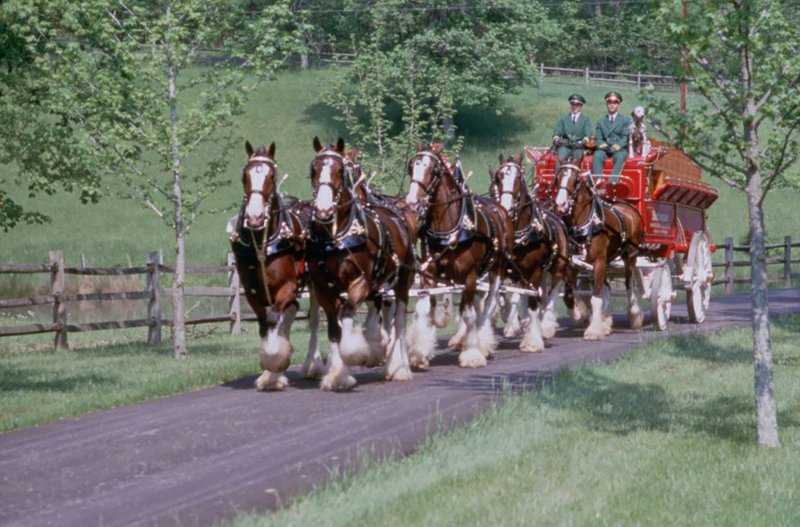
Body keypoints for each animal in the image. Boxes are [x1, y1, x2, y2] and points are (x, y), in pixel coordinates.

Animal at [227, 142, 324, 390]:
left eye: (271, 175)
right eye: (245, 175)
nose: (254, 216)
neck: (263, 242)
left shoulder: (288, 286)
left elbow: (273, 319)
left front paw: (274, 363)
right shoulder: (252, 292)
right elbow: (264, 324)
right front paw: (271, 372)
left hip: (314, 283)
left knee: (312, 319)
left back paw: (313, 365)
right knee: (290, 312)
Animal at [308, 136, 418, 392]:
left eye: (341, 170)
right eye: (313, 170)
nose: (324, 210)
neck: (337, 238)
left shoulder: (362, 282)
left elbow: (349, 313)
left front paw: (359, 353)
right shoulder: (324, 289)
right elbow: (334, 329)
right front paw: (337, 375)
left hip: (402, 283)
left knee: (399, 321)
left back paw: (399, 368)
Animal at [406, 142, 512, 370]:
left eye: (433, 170)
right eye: (412, 166)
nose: (412, 201)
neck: (450, 228)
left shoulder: (470, 277)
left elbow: (469, 315)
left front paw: (472, 354)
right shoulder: (429, 273)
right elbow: (425, 309)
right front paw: (419, 353)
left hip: (496, 270)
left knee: (488, 305)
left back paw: (483, 342)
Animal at [552, 155, 648, 340]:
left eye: (576, 179)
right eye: (558, 178)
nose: (560, 204)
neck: (586, 224)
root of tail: (627, 206)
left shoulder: (598, 262)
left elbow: (596, 297)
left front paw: (594, 330)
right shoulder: (574, 264)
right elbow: (569, 295)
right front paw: (580, 314)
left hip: (629, 256)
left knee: (628, 283)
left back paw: (634, 315)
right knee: (607, 287)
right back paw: (606, 319)